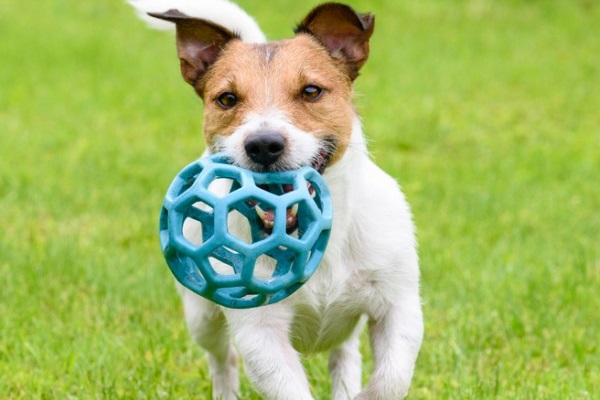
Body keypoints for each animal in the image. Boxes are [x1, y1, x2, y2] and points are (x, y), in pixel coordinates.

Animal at [131, 1, 422, 398]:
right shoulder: (259, 330)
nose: (263, 144)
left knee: (345, 352)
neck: (321, 236)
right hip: (201, 314)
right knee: (222, 359)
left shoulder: (399, 306)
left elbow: (390, 379)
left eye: (311, 91)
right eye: (227, 99)